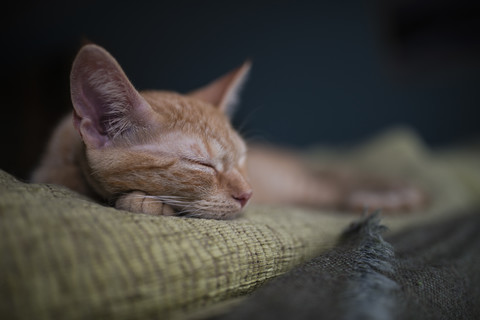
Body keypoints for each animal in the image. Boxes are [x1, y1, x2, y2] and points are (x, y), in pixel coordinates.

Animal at [31, 43, 424, 219]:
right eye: (202, 165)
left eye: (242, 158)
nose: (248, 194)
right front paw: (144, 200)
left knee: (337, 184)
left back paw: (388, 195)